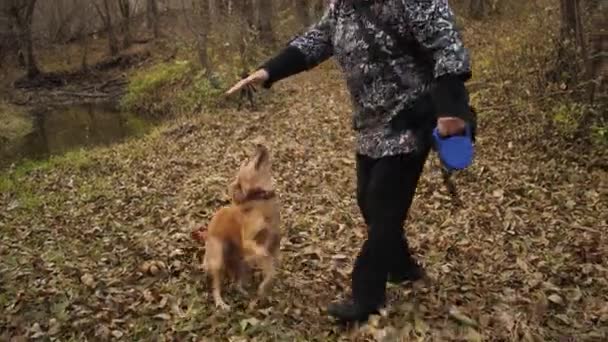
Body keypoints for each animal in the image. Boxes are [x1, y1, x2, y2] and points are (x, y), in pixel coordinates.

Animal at [191, 144, 282, 310]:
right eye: (246, 162)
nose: (259, 145)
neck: (261, 200)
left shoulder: (271, 246)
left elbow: (271, 273)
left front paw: (263, 290)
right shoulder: (248, 240)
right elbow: (259, 250)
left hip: (240, 264)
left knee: (237, 282)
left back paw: (243, 291)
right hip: (218, 258)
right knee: (216, 287)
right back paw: (221, 303)